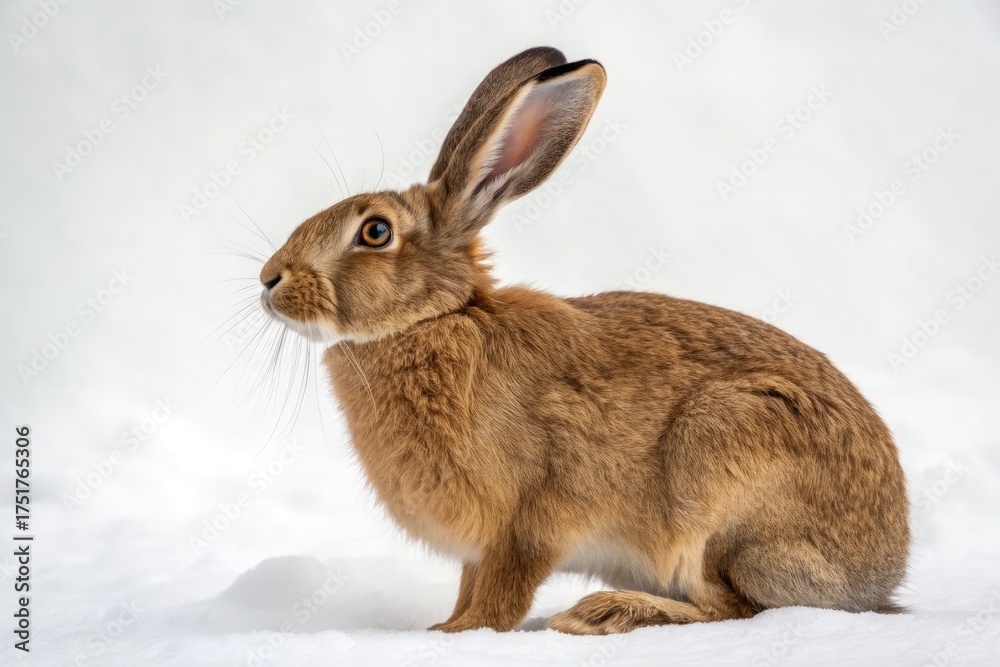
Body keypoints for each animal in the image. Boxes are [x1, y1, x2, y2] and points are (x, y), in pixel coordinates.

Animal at [258, 46, 910, 635]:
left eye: (375, 232)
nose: (269, 280)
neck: (434, 320)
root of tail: (880, 574)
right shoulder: (481, 548)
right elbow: (471, 586)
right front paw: (445, 624)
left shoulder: (529, 521)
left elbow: (504, 591)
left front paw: (460, 634)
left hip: (719, 473)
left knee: (733, 606)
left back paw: (604, 614)